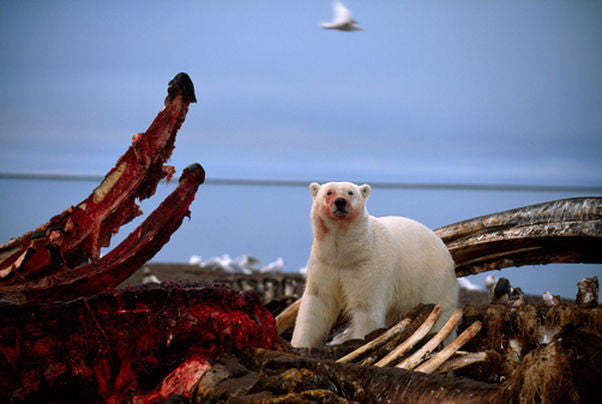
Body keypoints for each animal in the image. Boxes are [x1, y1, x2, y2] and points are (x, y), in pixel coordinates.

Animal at [290, 182, 454, 348]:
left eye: (350, 192)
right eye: (329, 192)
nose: (340, 202)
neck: (346, 254)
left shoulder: (367, 265)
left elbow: (366, 308)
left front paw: (360, 341)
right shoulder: (324, 263)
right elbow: (317, 302)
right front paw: (299, 344)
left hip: (434, 279)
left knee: (441, 312)